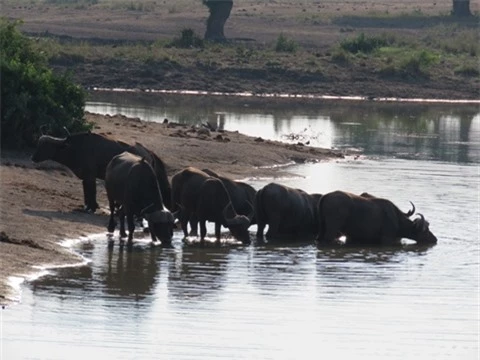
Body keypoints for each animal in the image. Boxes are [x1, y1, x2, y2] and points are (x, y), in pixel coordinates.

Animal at [31, 131, 171, 211]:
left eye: (45, 145)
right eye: (37, 144)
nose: (33, 158)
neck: (76, 148)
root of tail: (147, 152)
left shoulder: (90, 176)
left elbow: (92, 191)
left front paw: (92, 207)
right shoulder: (85, 177)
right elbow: (86, 191)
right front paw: (87, 206)